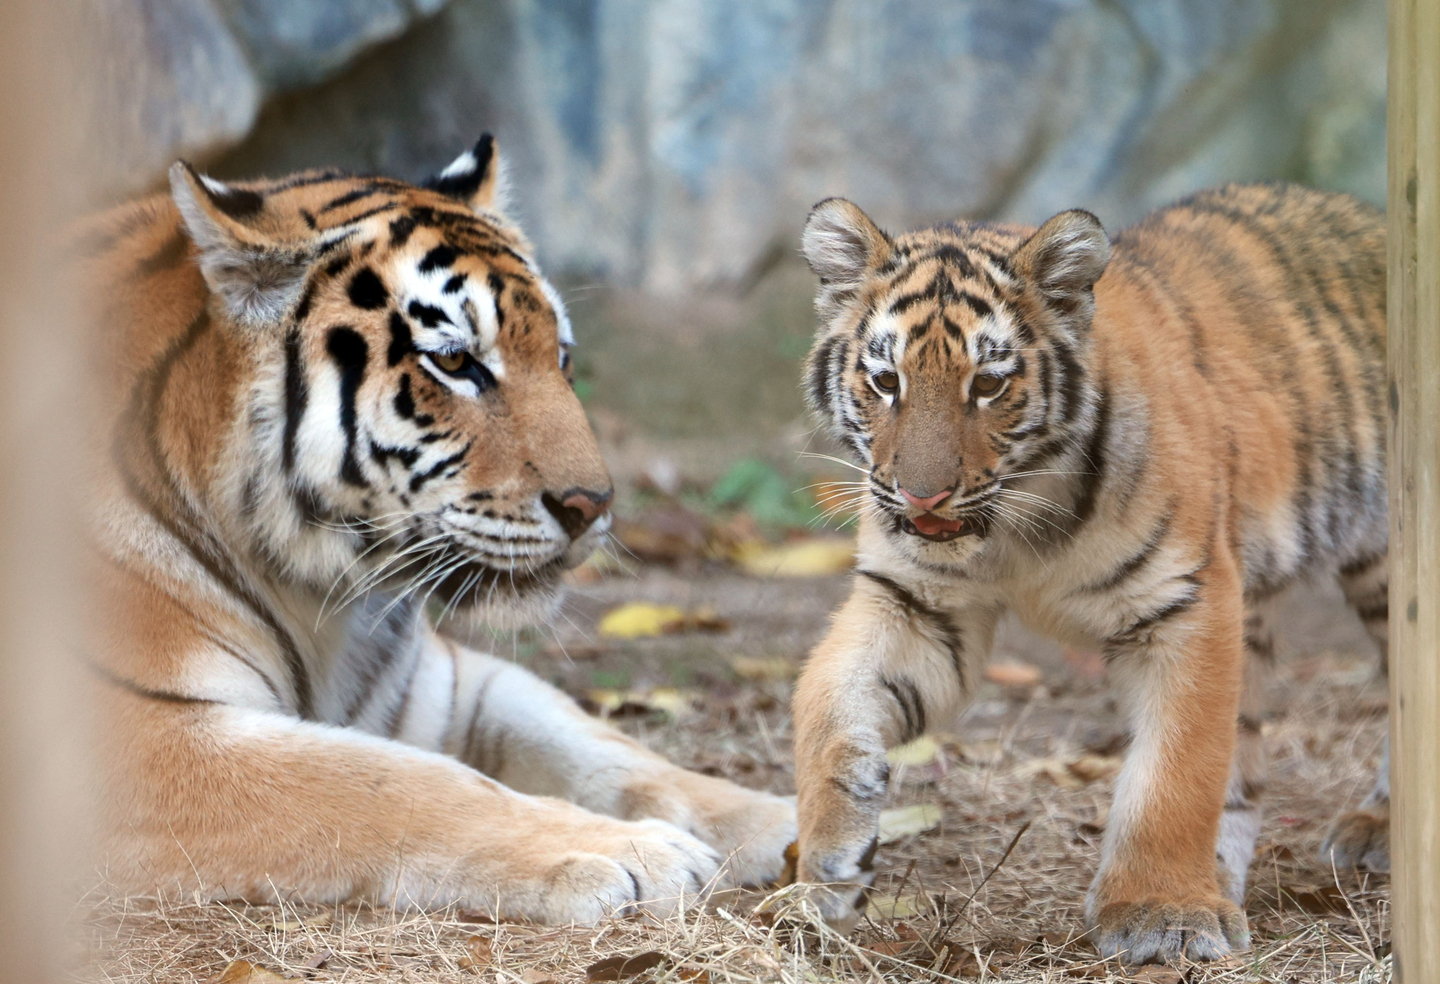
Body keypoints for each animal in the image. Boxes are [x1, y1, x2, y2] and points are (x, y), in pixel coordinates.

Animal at [80, 135, 795, 923]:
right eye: (455, 362)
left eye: (562, 357)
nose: (593, 504)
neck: (319, 600)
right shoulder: (134, 736)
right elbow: (402, 786)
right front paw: (636, 852)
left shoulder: (438, 681)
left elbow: (600, 744)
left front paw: (782, 817)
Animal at [789, 183, 1389, 964]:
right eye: (886, 381)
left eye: (988, 384)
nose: (923, 497)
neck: (1016, 529)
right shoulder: (916, 603)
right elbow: (825, 699)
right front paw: (828, 865)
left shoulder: (1186, 602)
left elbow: (1178, 766)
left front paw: (1163, 914)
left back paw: (1372, 830)